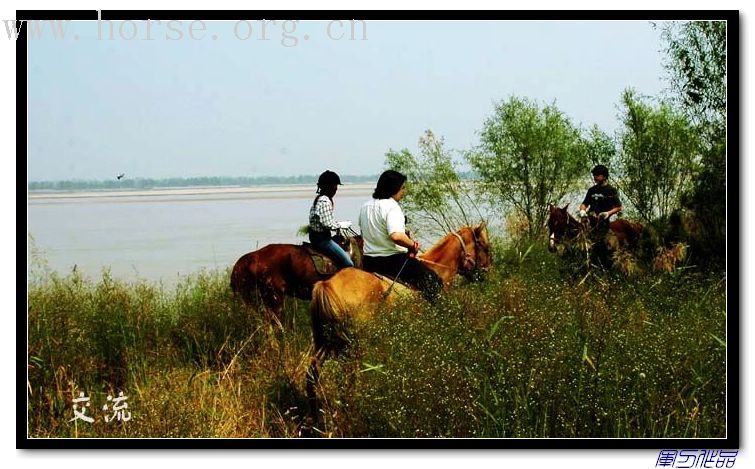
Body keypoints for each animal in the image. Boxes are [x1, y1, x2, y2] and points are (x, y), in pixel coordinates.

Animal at [304, 221, 494, 418]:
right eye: (485, 247)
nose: (487, 274)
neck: (438, 269)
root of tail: (326, 285)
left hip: (324, 343)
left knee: (312, 374)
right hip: (353, 347)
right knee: (349, 380)